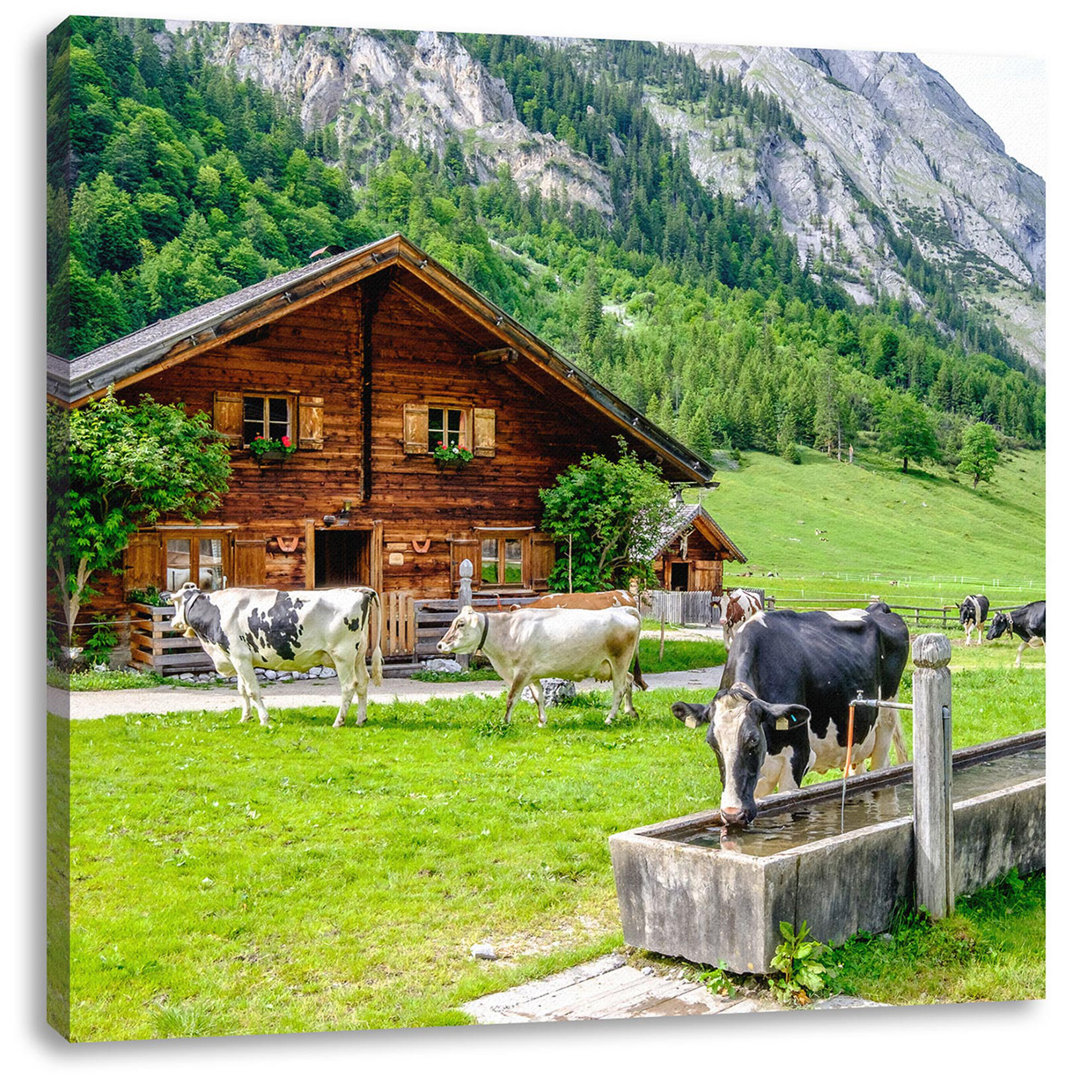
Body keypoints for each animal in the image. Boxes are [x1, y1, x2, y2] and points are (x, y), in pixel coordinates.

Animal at [168, 583, 384, 725]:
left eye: (174, 602)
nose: (172, 622)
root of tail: (359, 591)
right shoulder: (238, 658)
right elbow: (242, 690)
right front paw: (245, 717)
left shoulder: (240, 656)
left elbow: (253, 690)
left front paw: (264, 719)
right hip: (358, 655)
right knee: (363, 683)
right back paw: (361, 719)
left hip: (342, 655)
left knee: (349, 686)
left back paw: (339, 721)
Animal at [436, 609, 639, 725]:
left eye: (460, 624)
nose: (440, 645)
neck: (508, 631)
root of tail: (625, 611)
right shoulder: (532, 675)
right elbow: (538, 697)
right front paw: (542, 721)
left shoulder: (521, 671)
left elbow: (512, 698)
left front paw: (505, 722)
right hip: (613, 667)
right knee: (629, 681)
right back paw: (631, 712)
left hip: (619, 661)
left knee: (619, 690)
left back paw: (609, 718)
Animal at [669, 609, 907, 825]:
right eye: (712, 743)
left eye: (753, 740)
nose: (732, 814)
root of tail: (880, 609)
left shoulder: (799, 757)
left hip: (885, 723)